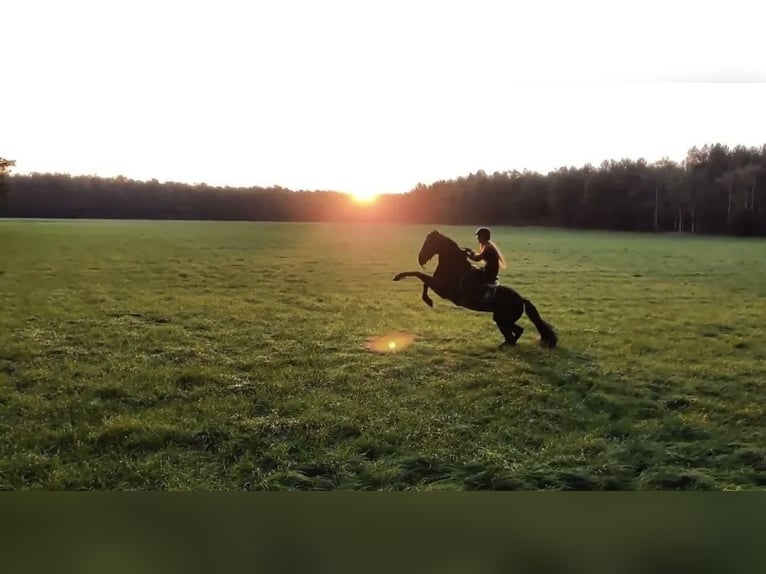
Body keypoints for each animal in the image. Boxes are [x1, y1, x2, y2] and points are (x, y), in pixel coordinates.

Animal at [396, 231, 560, 348]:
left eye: (429, 242)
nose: (420, 258)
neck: (453, 266)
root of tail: (521, 299)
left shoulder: (441, 289)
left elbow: (420, 276)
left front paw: (402, 280)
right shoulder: (438, 285)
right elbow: (423, 280)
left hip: (502, 319)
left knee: (514, 333)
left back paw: (504, 346)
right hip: (502, 319)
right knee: (517, 331)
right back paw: (505, 345)